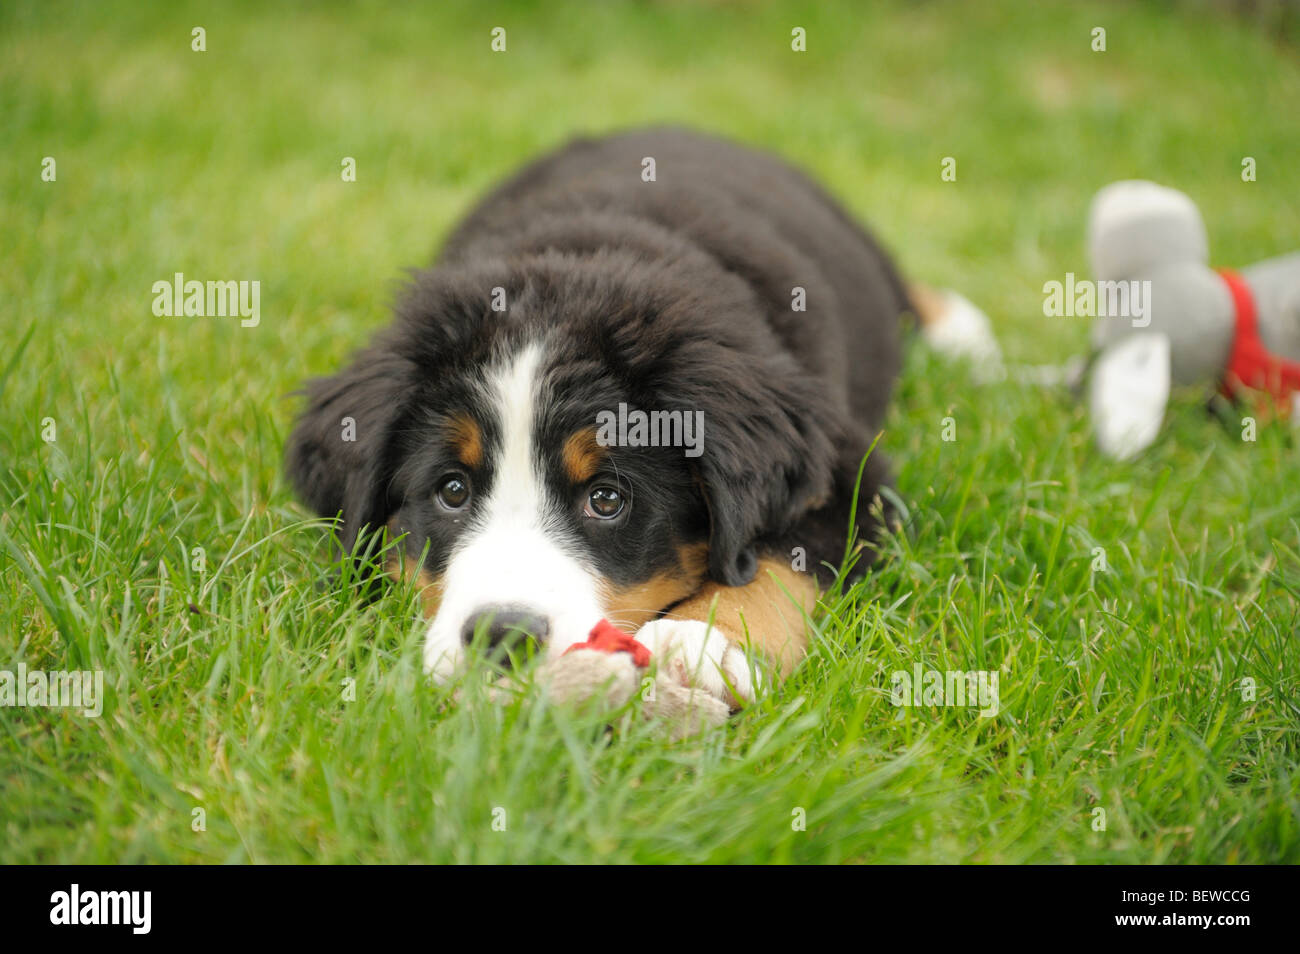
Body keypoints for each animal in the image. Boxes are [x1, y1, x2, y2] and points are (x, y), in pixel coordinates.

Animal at [287, 125, 935, 712]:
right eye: (451, 491)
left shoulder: (854, 474)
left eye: (606, 500)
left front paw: (705, 641)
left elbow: (782, 558)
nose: (504, 636)